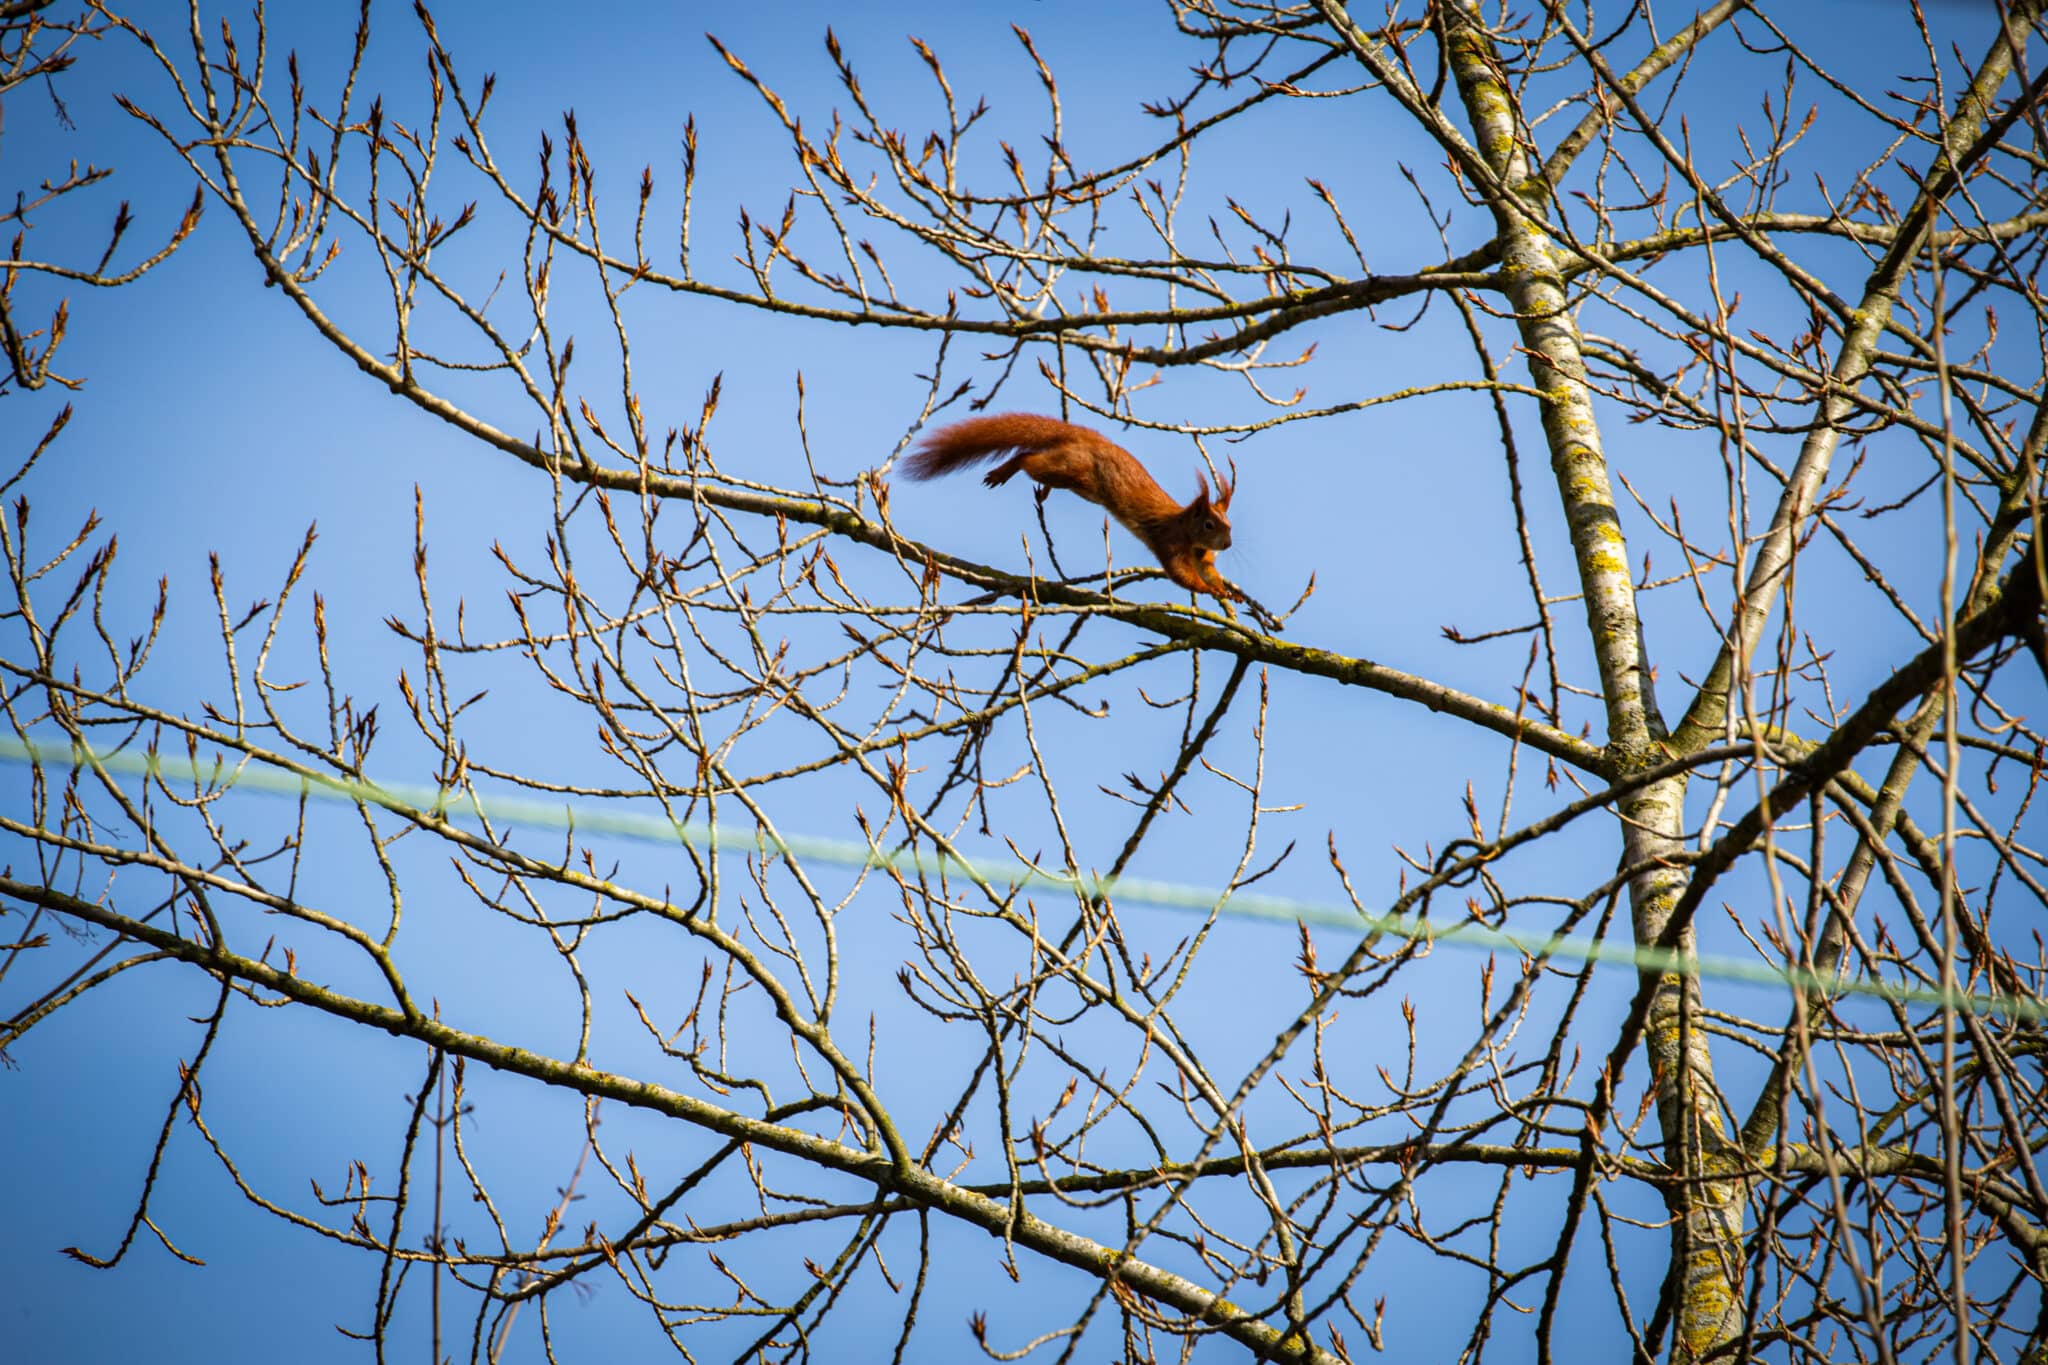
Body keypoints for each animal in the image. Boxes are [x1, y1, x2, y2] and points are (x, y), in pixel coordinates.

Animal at [900, 413, 1242, 606]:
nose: (1228, 544)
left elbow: (1209, 571)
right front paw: (1207, 590)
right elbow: (1181, 574)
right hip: (1074, 470)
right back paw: (1007, 470)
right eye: (1210, 524)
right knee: (1028, 458)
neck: (1187, 529)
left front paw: (1228, 592)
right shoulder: (1169, 541)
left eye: (1230, 524)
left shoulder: (1202, 556)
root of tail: (1092, 439)